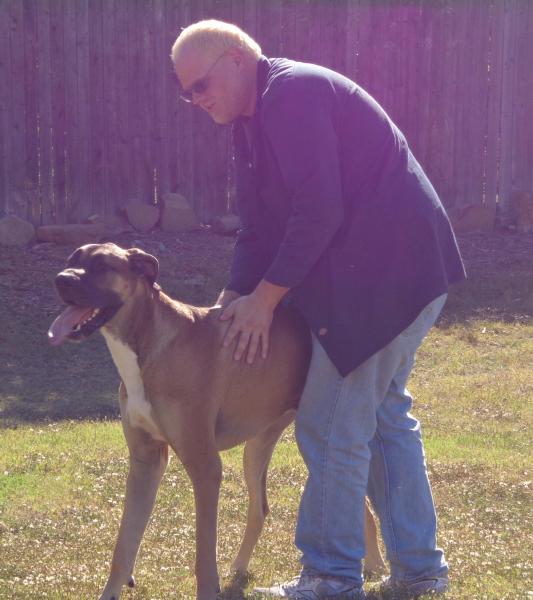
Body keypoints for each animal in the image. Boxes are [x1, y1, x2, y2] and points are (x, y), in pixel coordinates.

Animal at [47, 243, 384, 600]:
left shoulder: (205, 467)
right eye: (72, 260)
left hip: (319, 443)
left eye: (101, 265)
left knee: (360, 508)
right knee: (261, 509)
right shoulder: (145, 461)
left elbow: (204, 553)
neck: (149, 343)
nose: (61, 279)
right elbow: (124, 545)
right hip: (258, 449)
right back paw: (240, 568)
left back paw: (375, 567)